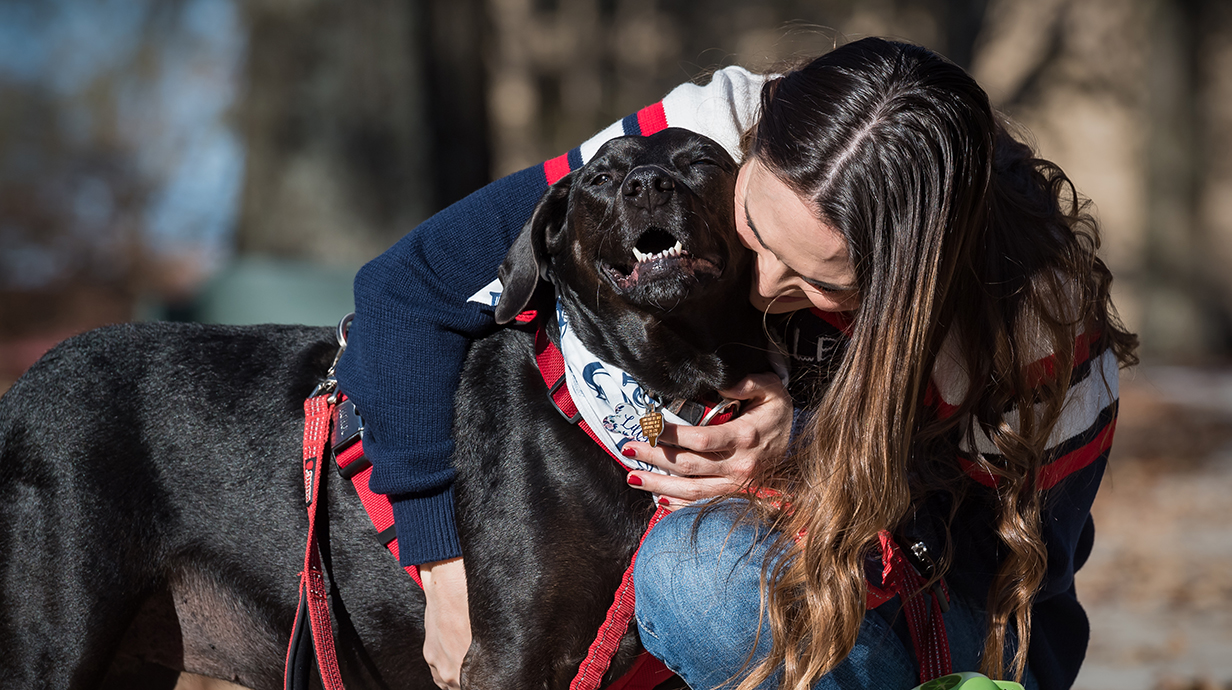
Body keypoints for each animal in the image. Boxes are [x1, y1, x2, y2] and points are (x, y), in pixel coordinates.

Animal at [0, 126, 763, 685]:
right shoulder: (510, 657)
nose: (648, 185)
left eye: (700, 161)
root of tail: (16, 392)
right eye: (601, 178)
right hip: (53, 644)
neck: (651, 396)